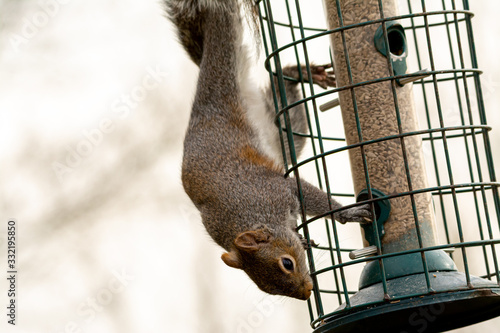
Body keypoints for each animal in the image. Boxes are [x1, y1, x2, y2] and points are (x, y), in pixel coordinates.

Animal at [166, 0, 374, 300]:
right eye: (267, 289)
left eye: (286, 263)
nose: (306, 293)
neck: (251, 216)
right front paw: (303, 238)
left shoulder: (277, 190)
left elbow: (308, 194)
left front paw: (347, 213)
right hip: (280, 131)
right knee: (283, 93)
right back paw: (296, 74)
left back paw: (301, 71)